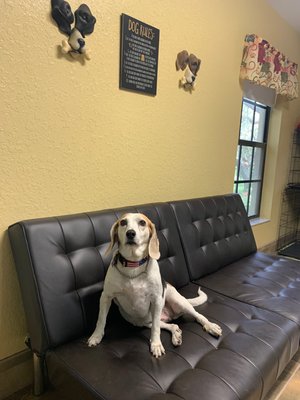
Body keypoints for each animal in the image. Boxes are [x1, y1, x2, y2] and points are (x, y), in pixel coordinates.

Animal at [88, 214, 221, 358]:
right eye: (123, 222)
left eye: (142, 222)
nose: (130, 233)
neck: (133, 265)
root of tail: (169, 315)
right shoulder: (106, 297)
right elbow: (101, 319)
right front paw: (96, 336)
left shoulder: (156, 300)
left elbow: (156, 329)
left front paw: (156, 345)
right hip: (141, 321)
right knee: (171, 325)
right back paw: (176, 334)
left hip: (178, 302)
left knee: (198, 315)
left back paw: (210, 326)